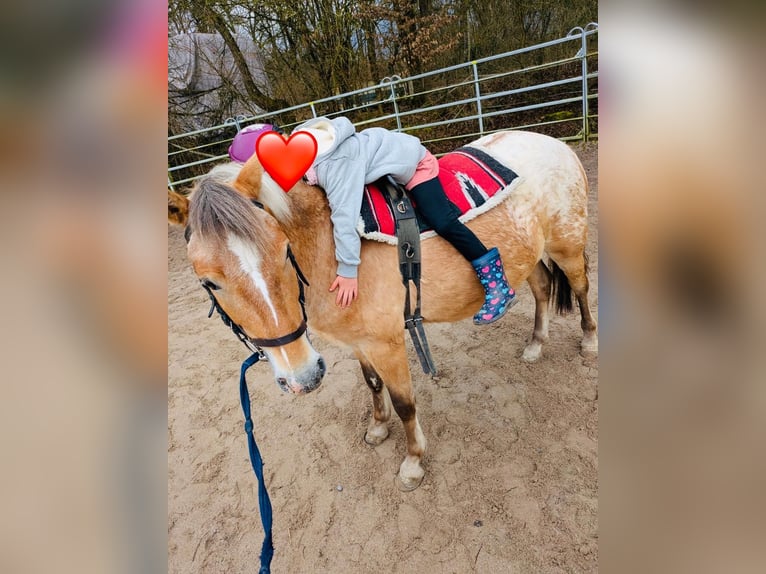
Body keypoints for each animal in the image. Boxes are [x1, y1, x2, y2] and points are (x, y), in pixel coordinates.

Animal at [183, 130, 597, 491]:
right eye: (209, 282)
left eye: (285, 251)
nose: (303, 377)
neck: (325, 245)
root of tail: (555, 143)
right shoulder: (359, 342)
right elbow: (373, 383)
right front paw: (378, 428)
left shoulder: (388, 343)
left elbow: (405, 403)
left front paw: (413, 462)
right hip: (529, 255)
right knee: (542, 288)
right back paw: (535, 345)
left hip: (567, 246)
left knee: (580, 288)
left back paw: (589, 342)